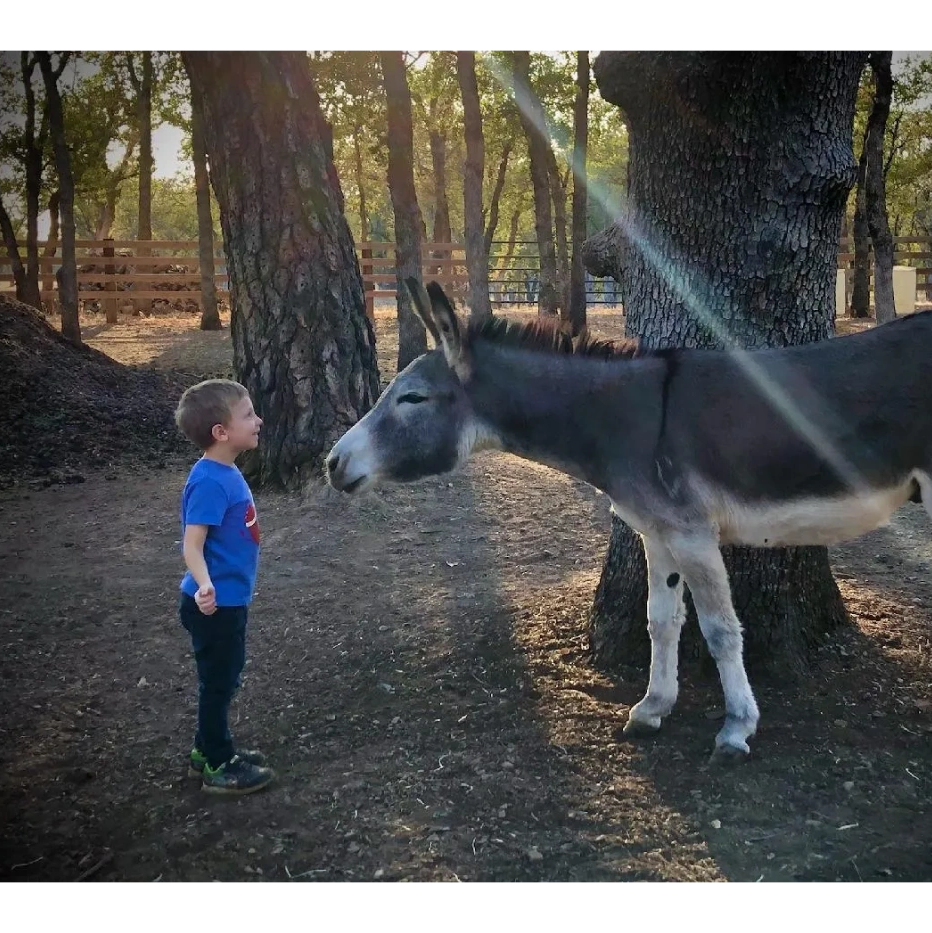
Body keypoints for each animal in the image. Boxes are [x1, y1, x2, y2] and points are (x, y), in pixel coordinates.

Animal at [326, 279, 932, 763]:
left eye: (412, 398)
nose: (332, 464)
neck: (628, 418)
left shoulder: (691, 532)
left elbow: (720, 630)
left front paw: (736, 729)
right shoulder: (658, 534)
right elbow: (660, 621)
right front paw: (652, 707)